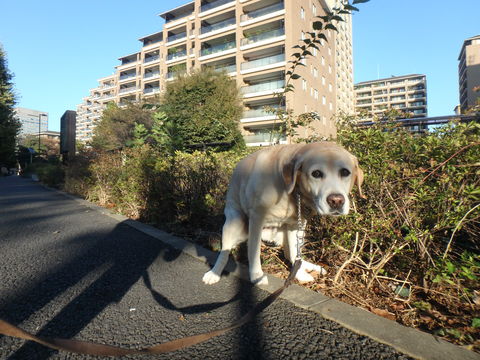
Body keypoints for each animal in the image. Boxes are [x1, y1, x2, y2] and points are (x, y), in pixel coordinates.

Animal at [202, 142, 364, 286]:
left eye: (345, 172)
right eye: (316, 173)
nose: (336, 201)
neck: (291, 192)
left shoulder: (295, 223)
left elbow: (293, 253)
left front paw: (300, 274)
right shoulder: (257, 217)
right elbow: (254, 251)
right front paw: (257, 276)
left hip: (297, 231)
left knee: (291, 254)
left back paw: (308, 268)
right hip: (234, 223)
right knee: (224, 251)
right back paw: (214, 273)